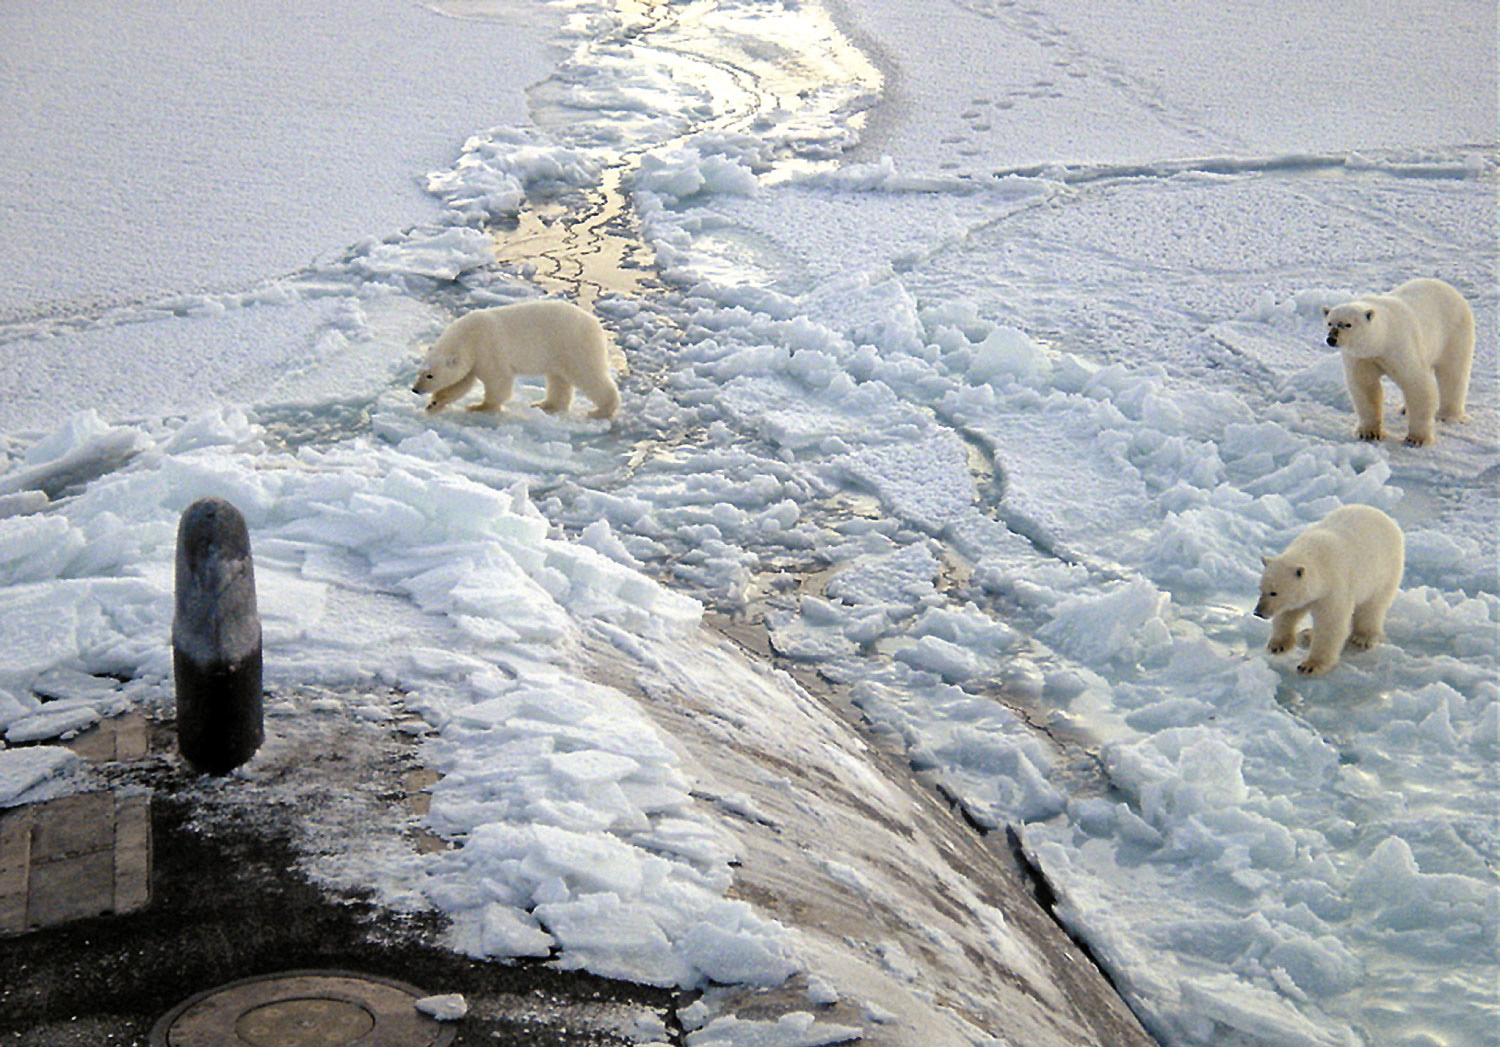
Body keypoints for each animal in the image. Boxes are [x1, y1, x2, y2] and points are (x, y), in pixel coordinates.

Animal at [408, 297, 618, 417]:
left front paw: (479, 407)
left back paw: (601, 410)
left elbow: (498, 381)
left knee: (588, 375)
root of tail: (596, 324)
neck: (469, 335)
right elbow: (461, 383)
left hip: (573, 345)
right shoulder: (472, 358)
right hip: (558, 353)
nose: (415, 390)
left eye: (430, 375)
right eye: (420, 372)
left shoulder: (487, 349)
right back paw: (546, 405)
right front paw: (434, 404)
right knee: (558, 379)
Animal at [1254, 504, 1404, 678]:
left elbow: (1331, 623)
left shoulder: (1334, 586)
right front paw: (1278, 644)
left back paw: (1361, 638)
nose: (1258, 612)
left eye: (1274, 592)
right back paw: (1308, 634)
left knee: (1372, 607)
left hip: (1384, 573)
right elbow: (1288, 614)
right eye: (1261, 589)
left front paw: (1310, 665)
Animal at [1326, 276, 1476, 441]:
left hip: (1454, 332)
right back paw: (1405, 409)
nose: (1331, 339)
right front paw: (1369, 432)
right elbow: (1365, 387)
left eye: (1348, 324)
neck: (1383, 338)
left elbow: (1417, 383)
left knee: (1453, 373)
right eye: (1329, 323)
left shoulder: (1401, 346)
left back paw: (1447, 415)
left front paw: (1417, 438)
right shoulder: (1362, 358)